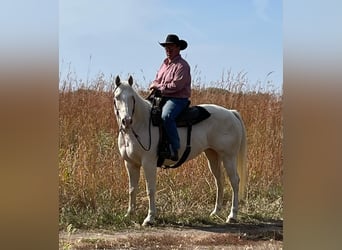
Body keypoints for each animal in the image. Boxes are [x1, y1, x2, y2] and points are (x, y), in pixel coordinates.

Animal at [113, 75, 247, 226]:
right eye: (117, 97)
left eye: (132, 97)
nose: (126, 121)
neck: (141, 124)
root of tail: (231, 113)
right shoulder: (130, 164)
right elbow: (132, 189)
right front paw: (129, 214)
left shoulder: (148, 163)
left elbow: (150, 189)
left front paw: (150, 218)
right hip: (213, 155)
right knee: (219, 180)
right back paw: (215, 212)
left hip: (229, 156)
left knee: (234, 181)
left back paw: (232, 215)